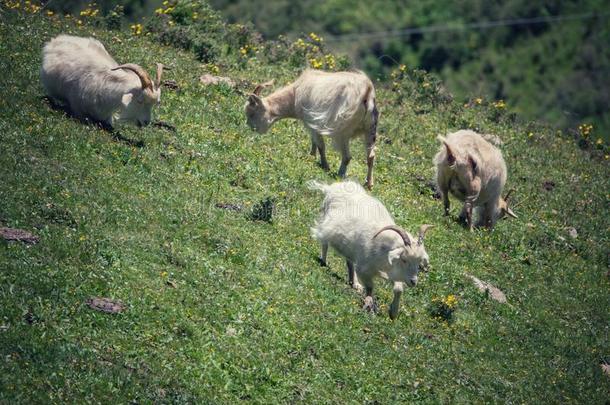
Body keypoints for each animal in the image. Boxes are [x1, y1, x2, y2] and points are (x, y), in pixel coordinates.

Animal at [245, 69, 378, 188]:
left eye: (251, 113)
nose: (251, 128)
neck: (295, 93)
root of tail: (367, 91)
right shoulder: (311, 125)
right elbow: (314, 142)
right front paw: (311, 156)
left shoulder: (312, 122)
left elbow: (320, 145)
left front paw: (324, 165)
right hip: (370, 128)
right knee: (371, 156)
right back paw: (369, 183)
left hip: (342, 130)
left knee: (347, 156)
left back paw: (340, 175)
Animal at [308, 180, 432, 318]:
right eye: (404, 259)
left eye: (419, 262)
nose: (413, 281)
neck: (384, 250)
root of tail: (331, 188)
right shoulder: (365, 269)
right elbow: (370, 287)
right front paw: (369, 305)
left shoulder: (393, 272)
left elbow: (398, 289)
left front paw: (393, 313)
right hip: (327, 222)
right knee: (324, 242)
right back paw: (324, 262)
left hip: (350, 245)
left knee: (350, 261)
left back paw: (354, 283)